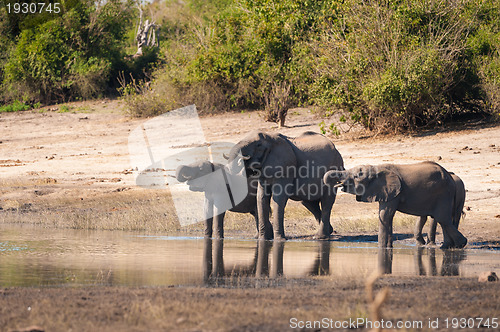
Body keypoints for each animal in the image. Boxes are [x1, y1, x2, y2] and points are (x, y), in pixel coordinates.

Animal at [324, 162, 468, 248]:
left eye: (356, 176)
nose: (338, 184)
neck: (377, 167)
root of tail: (450, 176)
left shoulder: (394, 191)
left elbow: (385, 215)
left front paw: (382, 248)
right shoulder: (386, 192)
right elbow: (388, 216)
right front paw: (388, 248)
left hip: (443, 193)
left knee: (443, 219)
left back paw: (459, 245)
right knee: (443, 220)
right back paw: (447, 247)